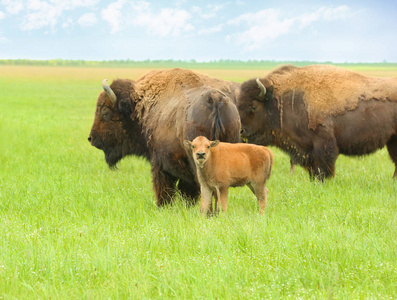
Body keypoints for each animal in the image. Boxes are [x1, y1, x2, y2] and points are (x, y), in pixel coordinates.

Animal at [88, 67, 240, 206]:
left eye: (105, 112)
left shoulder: (159, 163)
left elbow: (163, 187)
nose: (91, 138)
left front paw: (163, 206)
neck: (140, 106)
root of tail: (215, 99)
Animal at [237, 64, 396, 179]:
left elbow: (323, 168)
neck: (280, 101)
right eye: (238, 105)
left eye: (253, 106)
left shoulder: (323, 145)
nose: (241, 130)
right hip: (392, 141)